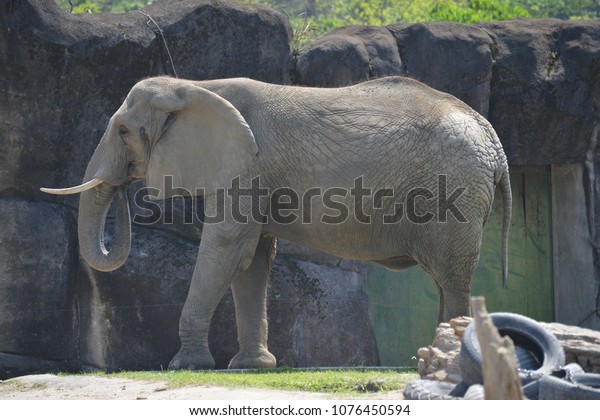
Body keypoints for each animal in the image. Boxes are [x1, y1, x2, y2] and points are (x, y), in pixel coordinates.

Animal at [42, 75, 510, 370]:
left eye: (123, 131)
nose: (125, 184)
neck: (196, 87)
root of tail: (492, 137)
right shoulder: (254, 177)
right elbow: (253, 260)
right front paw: (251, 366)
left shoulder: (245, 168)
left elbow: (227, 248)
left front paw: (183, 365)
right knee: (447, 279)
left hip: (456, 194)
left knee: (451, 276)